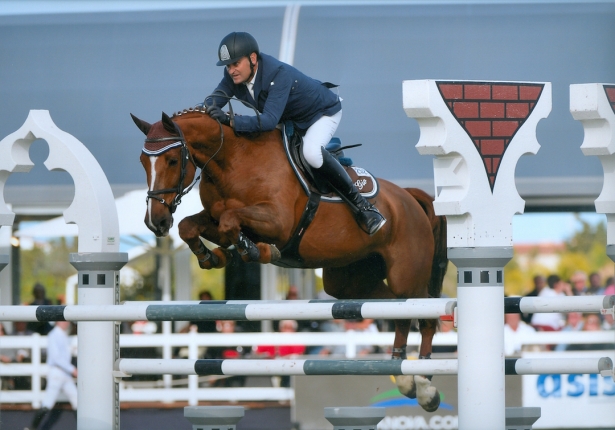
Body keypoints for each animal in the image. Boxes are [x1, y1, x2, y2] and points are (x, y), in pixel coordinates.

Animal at [132, 107, 448, 410]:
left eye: (172, 160)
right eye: (142, 162)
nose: (155, 222)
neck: (232, 161)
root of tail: (410, 196)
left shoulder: (278, 223)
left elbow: (230, 221)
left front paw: (255, 250)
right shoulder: (214, 216)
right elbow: (193, 225)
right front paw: (213, 256)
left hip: (406, 275)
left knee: (425, 316)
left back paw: (424, 386)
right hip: (350, 281)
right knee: (397, 312)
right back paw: (403, 377)